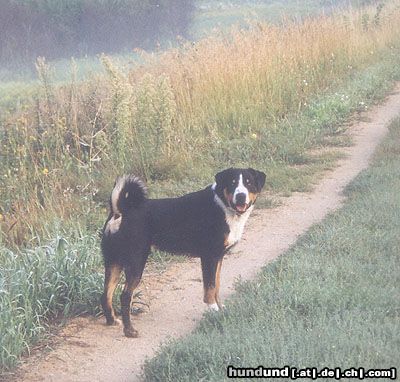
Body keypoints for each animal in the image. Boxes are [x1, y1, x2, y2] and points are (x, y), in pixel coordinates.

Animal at [101, 167, 266, 338]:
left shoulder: (219, 257)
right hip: (136, 262)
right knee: (125, 296)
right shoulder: (209, 256)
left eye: (249, 183)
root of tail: (120, 211)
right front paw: (214, 310)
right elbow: (210, 288)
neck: (223, 206)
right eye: (232, 183)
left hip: (113, 262)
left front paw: (220, 309)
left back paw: (112, 321)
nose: (240, 196)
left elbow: (217, 286)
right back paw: (129, 330)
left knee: (106, 294)